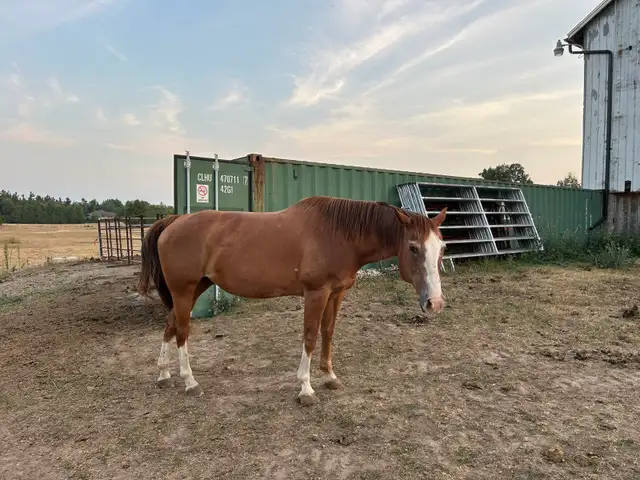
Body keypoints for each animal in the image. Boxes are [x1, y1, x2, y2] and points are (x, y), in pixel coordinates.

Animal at [137, 195, 447, 406]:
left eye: (441, 248)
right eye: (413, 247)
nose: (435, 303)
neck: (338, 234)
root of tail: (173, 221)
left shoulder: (336, 293)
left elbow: (327, 332)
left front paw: (330, 377)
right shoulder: (316, 293)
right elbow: (310, 336)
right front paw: (306, 389)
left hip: (195, 288)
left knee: (170, 324)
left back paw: (164, 375)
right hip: (184, 290)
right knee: (182, 331)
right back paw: (190, 382)